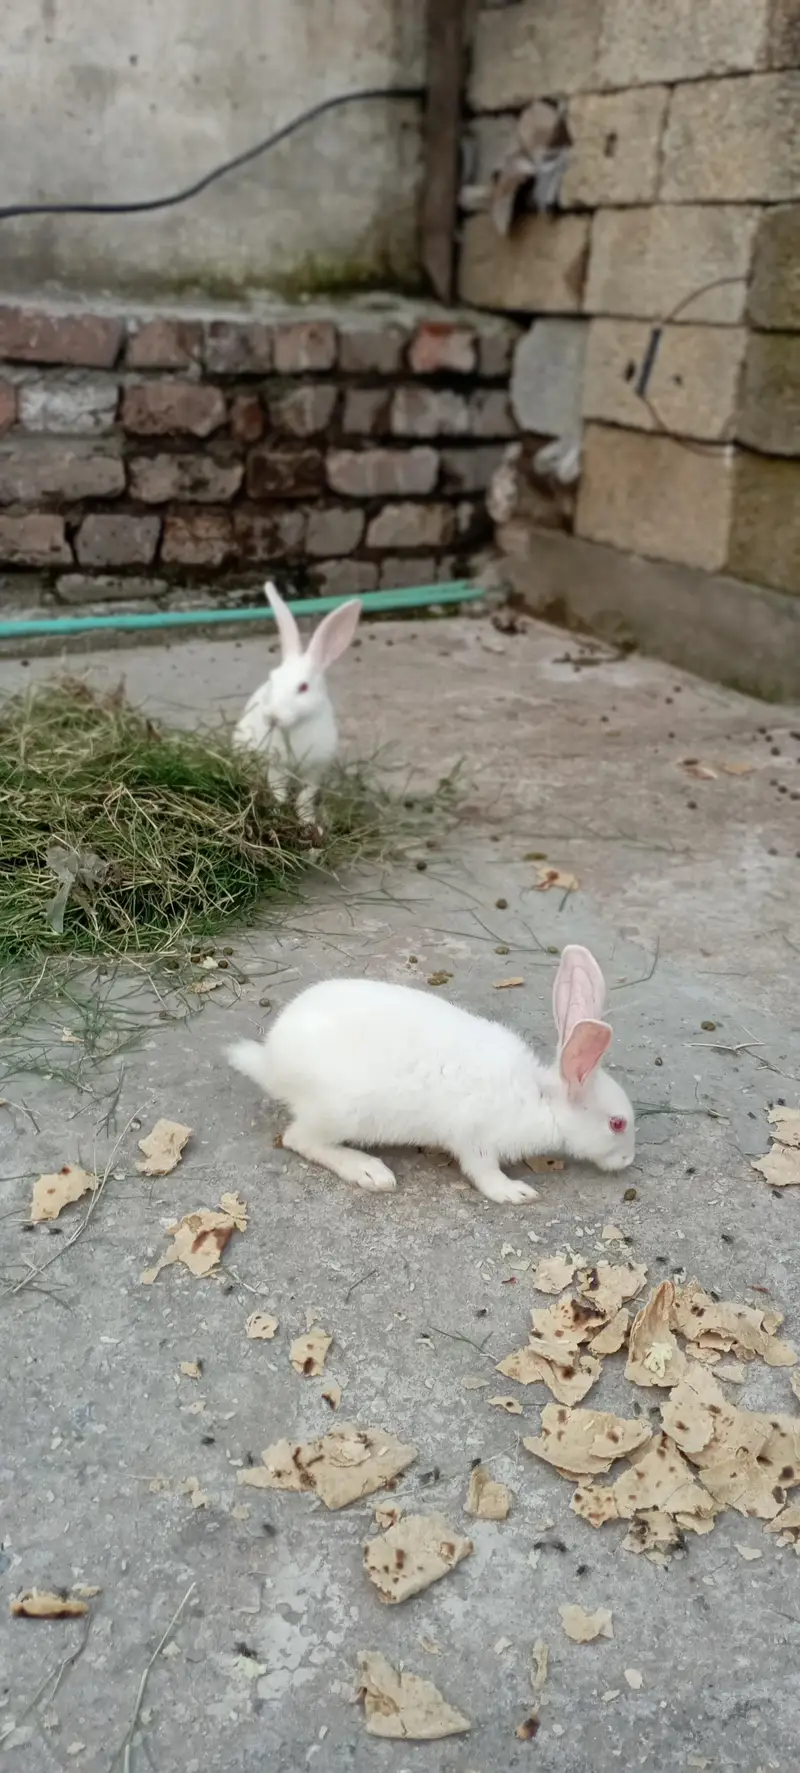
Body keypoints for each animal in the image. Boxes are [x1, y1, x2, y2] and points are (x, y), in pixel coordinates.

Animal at [227, 943, 635, 1205]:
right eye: (617, 1124)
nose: (629, 1161)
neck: (541, 1098)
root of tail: (272, 1062)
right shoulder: (476, 1139)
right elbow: (483, 1172)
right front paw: (515, 1192)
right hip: (341, 1113)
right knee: (299, 1139)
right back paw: (369, 1171)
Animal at [232, 580, 361, 822]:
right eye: (272, 677)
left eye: (303, 687)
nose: (272, 716)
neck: (296, 727)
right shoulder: (276, 767)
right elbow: (279, 793)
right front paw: (278, 814)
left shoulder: (316, 770)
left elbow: (305, 798)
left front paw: (307, 822)